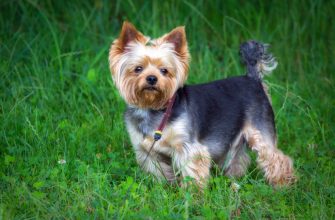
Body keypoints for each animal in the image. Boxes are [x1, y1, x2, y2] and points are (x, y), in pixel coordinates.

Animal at [109, 21, 296, 188]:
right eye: (138, 69)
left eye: (164, 71)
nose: (152, 79)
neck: (154, 108)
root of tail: (253, 78)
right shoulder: (148, 152)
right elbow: (159, 173)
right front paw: (163, 190)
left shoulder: (188, 148)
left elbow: (192, 174)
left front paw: (193, 197)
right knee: (239, 157)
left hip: (260, 130)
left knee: (275, 157)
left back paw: (283, 184)